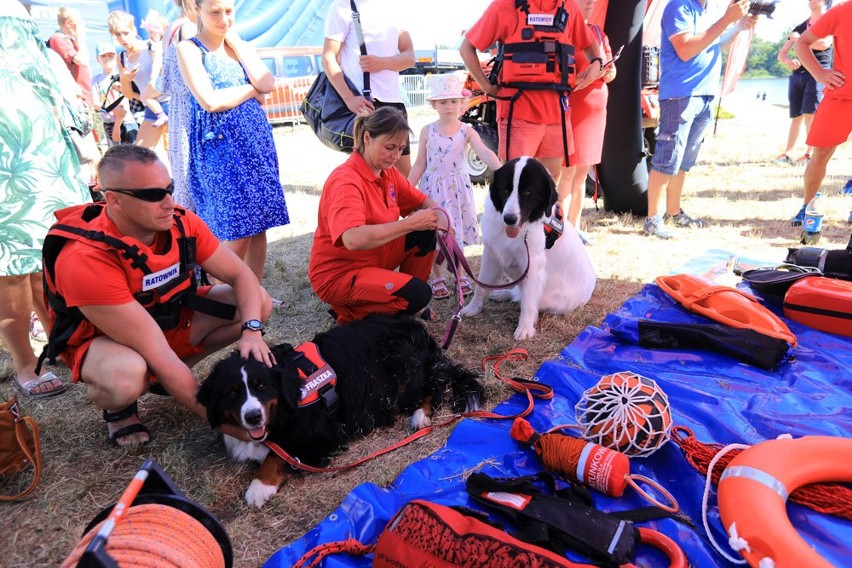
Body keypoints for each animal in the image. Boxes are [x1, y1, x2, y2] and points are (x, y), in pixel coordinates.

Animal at [196, 316, 482, 506]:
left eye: (261, 386)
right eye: (232, 392)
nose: (253, 416)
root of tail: (420, 330)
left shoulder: (324, 435)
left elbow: (277, 457)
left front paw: (258, 487)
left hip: (403, 369)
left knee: (436, 386)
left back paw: (421, 415)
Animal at [462, 158, 596, 340]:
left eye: (527, 192)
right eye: (505, 190)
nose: (509, 219)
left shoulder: (533, 268)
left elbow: (528, 302)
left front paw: (525, 328)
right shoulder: (491, 255)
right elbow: (481, 287)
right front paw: (473, 308)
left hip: (553, 302)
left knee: (525, 298)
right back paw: (502, 293)